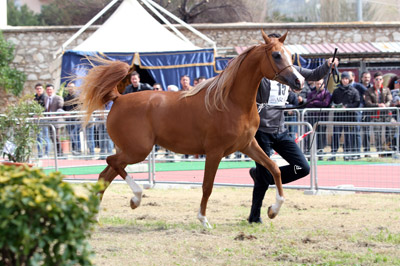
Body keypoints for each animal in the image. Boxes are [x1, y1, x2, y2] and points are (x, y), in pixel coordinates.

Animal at [79, 30, 304, 227]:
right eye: (276, 55)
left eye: (289, 53)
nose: (299, 81)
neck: (231, 102)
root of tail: (118, 98)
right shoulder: (214, 152)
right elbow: (207, 186)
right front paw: (203, 220)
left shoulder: (247, 145)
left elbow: (274, 169)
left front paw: (273, 210)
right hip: (137, 150)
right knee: (111, 162)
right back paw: (136, 197)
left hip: (130, 150)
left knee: (105, 175)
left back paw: (97, 216)